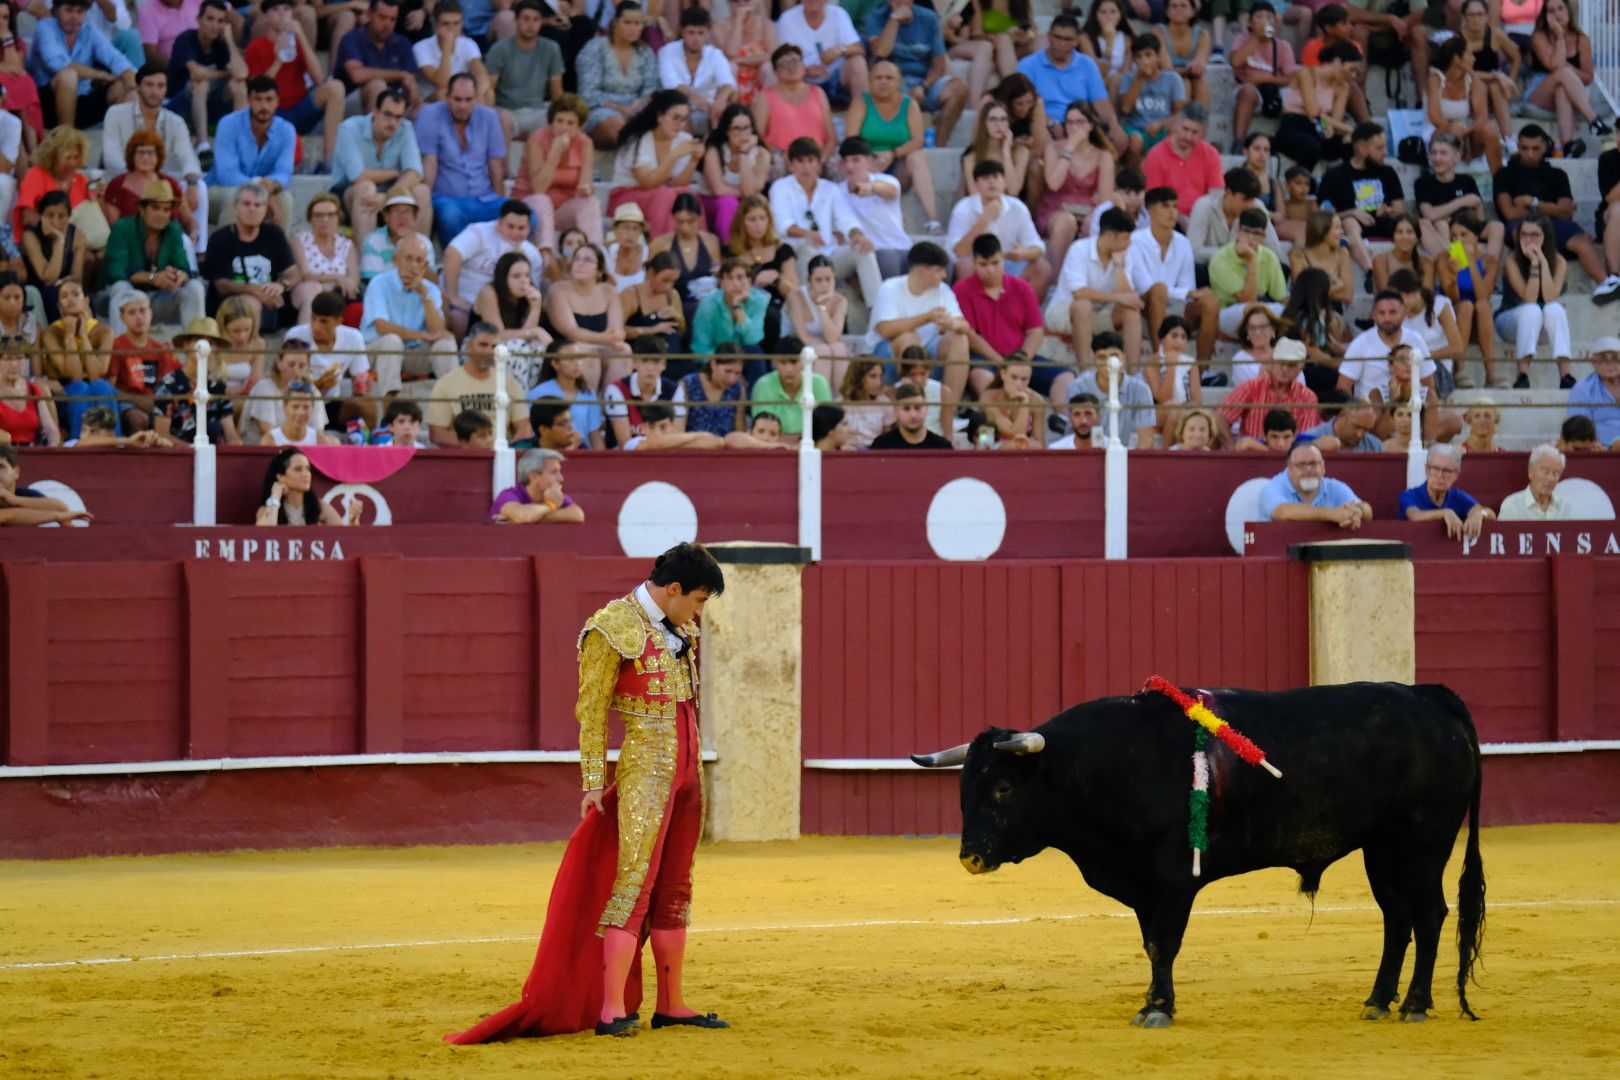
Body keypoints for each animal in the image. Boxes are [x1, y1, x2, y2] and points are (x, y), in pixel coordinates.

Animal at [913, 683, 1483, 1029]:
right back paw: (1378, 1002)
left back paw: (1414, 1005)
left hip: (1422, 845)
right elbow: (1150, 944)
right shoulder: (1143, 886)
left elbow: (1164, 944)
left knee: (1429, 915)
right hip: (1382, 850)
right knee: (1397, 919)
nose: (971, 857)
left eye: (1003, 788)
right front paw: (1151, 1002)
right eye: (964, 789)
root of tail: (1426, 697)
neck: (1110, 764)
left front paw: (1159, 1010)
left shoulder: (1171, 882)